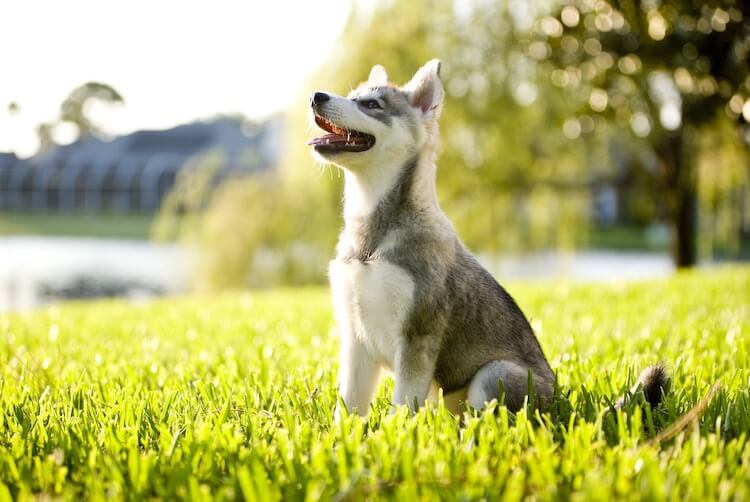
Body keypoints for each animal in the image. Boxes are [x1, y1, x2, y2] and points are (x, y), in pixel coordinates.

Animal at [306, 58, 668, 416]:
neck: (372, 237)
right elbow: (348, 408)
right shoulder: (355, 339)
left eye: (371, 104)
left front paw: (396, 432)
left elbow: (402, 408)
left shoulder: (417, 337)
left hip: (494, 374)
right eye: (353, 95)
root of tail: (563, 406)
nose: (316, 96)